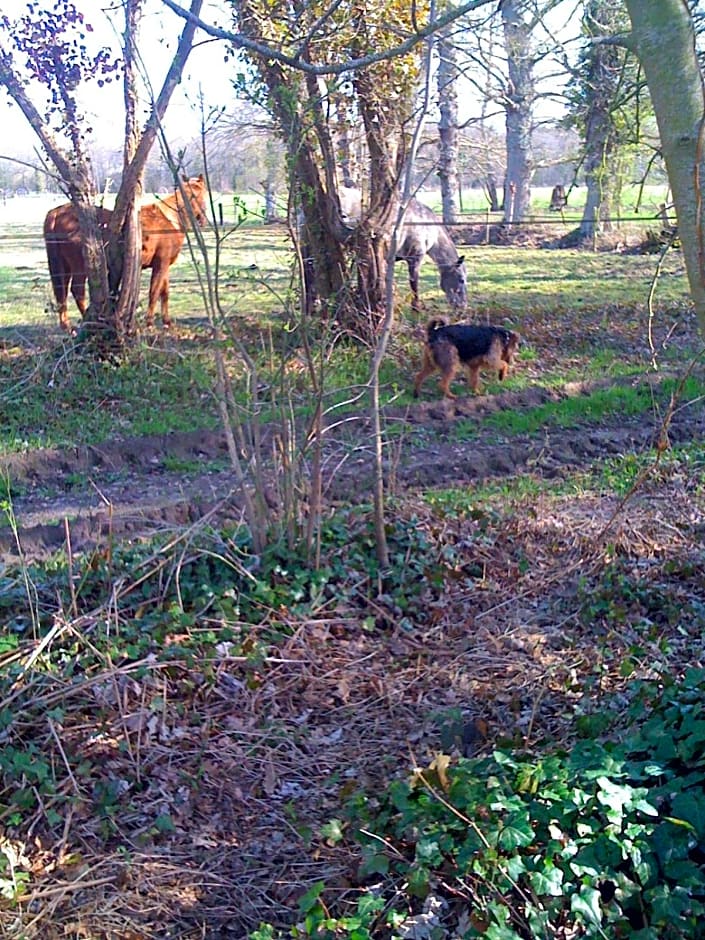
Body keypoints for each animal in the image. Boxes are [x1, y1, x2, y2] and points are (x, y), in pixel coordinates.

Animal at [43, 174, 206, 332]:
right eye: (199, 195)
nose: (203, 220)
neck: (170, 218)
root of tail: (56, 213)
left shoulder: (164, 265)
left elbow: (164, 293)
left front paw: (167, 322)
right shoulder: (161, 264)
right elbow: (154, 292)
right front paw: (150, 324)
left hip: (64, 267)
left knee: (62, 292)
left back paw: (67, 326)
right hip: (79, 268)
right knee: (77, 291)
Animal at [336, 185, 468, 310]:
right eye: (461, 279)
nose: (462, 305)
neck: (425, 223)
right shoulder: (414, 257)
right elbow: (414, 283)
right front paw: (416, 307)